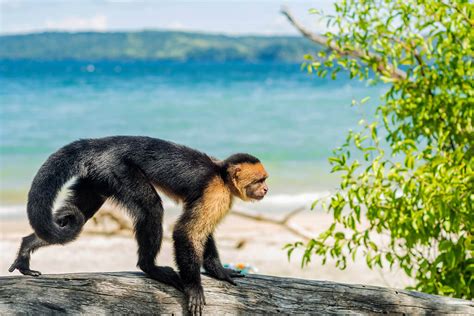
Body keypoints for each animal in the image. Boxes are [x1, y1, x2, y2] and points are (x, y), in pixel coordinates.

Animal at [8, 135, 266, 314]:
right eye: (260, 180)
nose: (266, 189)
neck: (220, 173)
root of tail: (101, 144)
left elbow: (202, 233)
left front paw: (219, 271)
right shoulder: (216, 193)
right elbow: (187, 232)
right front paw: (194, 286)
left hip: (98, 175)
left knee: (80, 212)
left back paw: (27, 246)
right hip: (117, 169)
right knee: (151, 208)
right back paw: (149, 267)